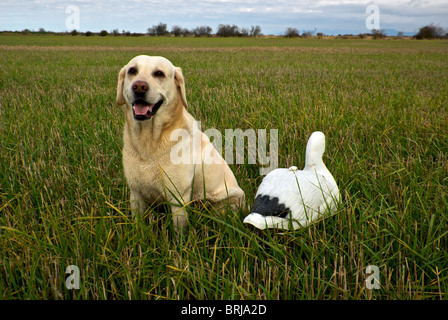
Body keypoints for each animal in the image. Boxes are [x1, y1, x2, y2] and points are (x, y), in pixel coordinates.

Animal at [115, 55, 245, 230]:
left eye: (159, 73)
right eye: (132, 71)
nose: (139, 86)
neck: (150, 139)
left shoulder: (178, 198)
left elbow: (178, 232)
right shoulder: (136, 194)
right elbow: (138, 225)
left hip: (227, 200)